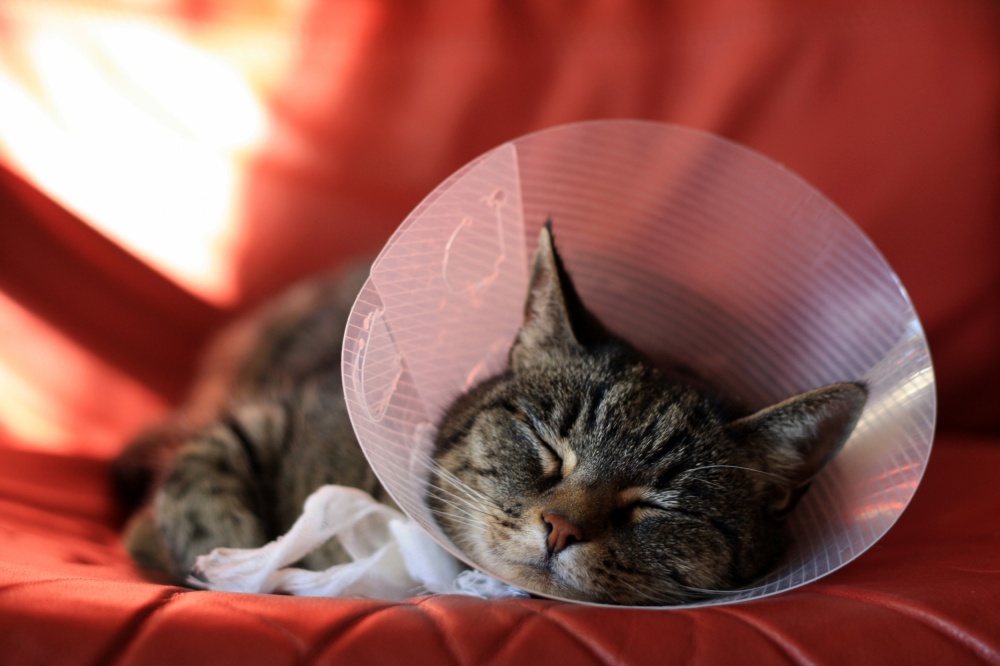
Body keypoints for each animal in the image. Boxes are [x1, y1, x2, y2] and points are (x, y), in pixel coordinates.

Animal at [115, 222, 867, 605]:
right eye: (546, 444)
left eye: (663, 504)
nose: (561, 528)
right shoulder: (272, 414)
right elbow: (201, 486)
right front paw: (227, 560)